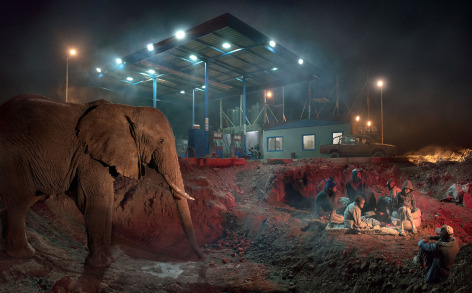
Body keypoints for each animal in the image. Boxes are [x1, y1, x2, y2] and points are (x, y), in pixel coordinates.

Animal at [0, 94, 203, 266]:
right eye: (161, 141)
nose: (200, 258)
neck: (129, 110)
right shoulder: (89, 156)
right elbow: (94, 199)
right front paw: (101, 264)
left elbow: (107, 199)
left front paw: (109, 261)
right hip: (14, 157)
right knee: (20, 200)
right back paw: (23, 254)